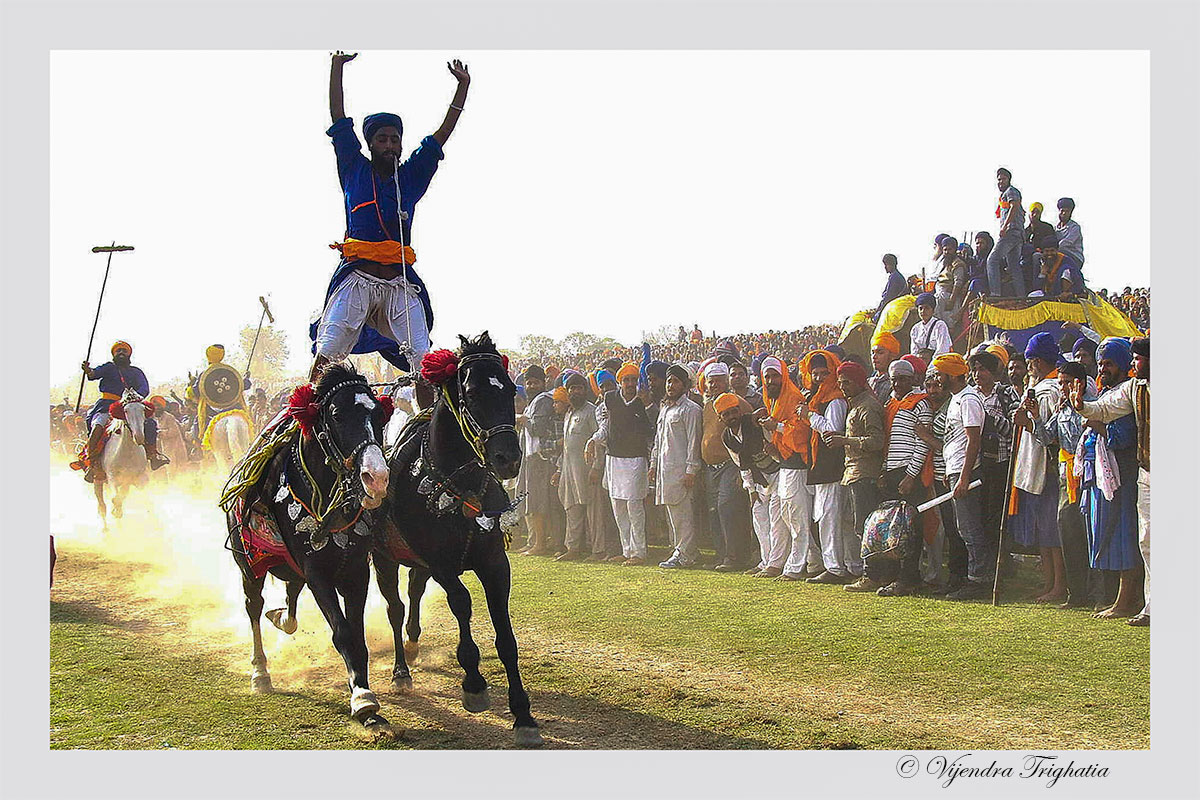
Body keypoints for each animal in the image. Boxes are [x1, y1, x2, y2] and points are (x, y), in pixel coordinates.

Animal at [96, 388, 152, 525]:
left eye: (143, 410)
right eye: (126, 411)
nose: (139, 436)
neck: (127, 453)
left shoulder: (138, 477)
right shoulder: (112, 478)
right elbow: (116, 498)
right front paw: (115, 511)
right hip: (98, 478)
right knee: (101, 504)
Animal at [225, 367, 393, 729]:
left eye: (378, 414)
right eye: (337, 415)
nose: (376, 478)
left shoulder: (356, 570)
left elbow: (356, 635)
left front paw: (363, 690)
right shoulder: (317, 573)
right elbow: (343, 632)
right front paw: (362, 699)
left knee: (289, 599)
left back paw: (280, 618)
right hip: (249, 567)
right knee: (253, 607)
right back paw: (260, 672)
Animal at [372, 331, 547, 743]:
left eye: (510, 389)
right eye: (472, 392)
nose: (508, 458)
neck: (461, 484)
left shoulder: (495, 564)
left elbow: (506, 637)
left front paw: (523, 713)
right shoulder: (442, 565)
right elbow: (462, 604)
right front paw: (474, 684)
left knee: (414, 591)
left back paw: (413, 640)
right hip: (383, 558)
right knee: (394, 607)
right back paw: (401, 671)